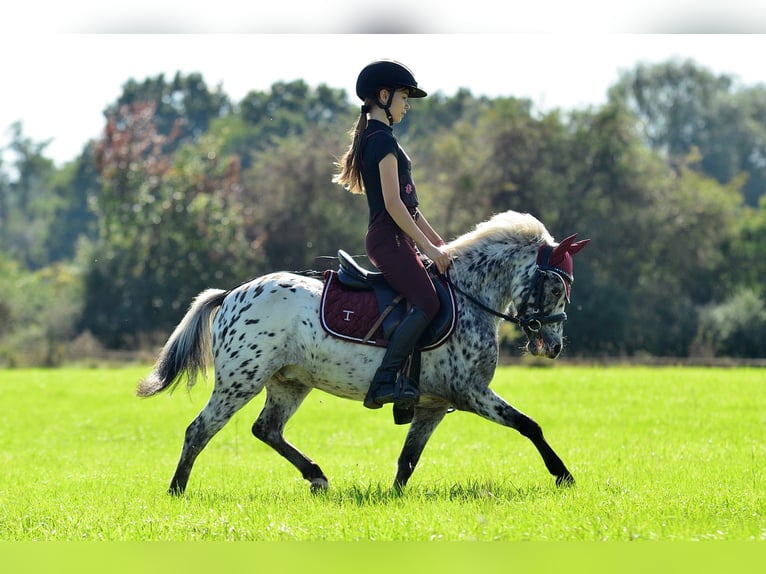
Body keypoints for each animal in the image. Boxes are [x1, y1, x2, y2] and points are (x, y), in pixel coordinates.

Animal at [137, 210, 589, 494]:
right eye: (555, 286)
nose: (553, 347)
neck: (470, 296)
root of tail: (232, 293)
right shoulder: (472, 392)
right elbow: (530, 426)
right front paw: (563, 476)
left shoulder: (433, 405)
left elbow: (408, 459)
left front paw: (393, 499)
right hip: (239, 380)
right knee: (199, 429)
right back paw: (177, 490)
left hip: (288, 383)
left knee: (267, 430)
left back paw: (317, 477)